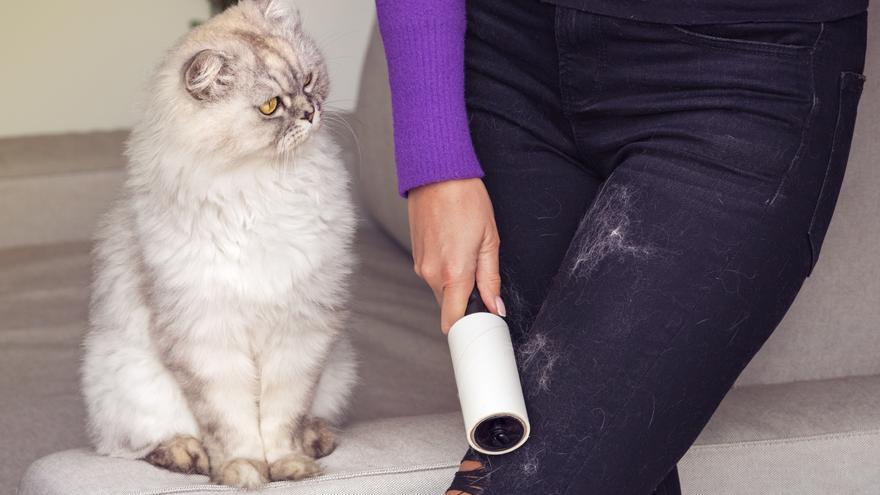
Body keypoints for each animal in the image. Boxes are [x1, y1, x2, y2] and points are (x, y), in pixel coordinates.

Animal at [80, 0, 358, 488]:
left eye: (308, 80)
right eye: (270, 106)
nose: (310, 113)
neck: (263, 185)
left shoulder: (301, 329)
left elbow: (283, 417)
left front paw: (289, 466)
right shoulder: (205, 338)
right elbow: (232, 426)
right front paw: (242, 472)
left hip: (338, 370)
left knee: (313, 418)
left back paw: (315, 441)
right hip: (126, 383)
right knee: (135, 446)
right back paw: (188, 457)